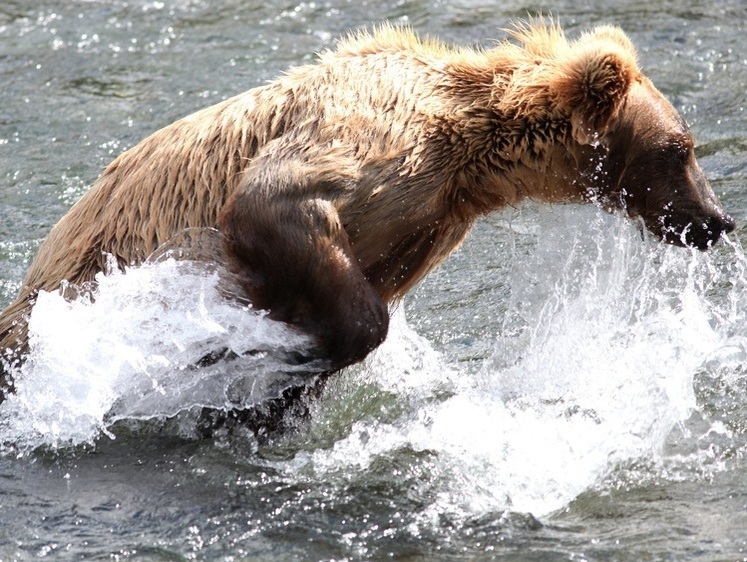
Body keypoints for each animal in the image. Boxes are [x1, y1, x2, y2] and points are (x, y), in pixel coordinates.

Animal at [0, 21, 736, 404]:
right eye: (680, 148)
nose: (717, 221)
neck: (472, 156)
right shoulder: (377, 144)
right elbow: (275, 202)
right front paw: (268, 357)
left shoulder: (428, 224)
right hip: (61, 293)